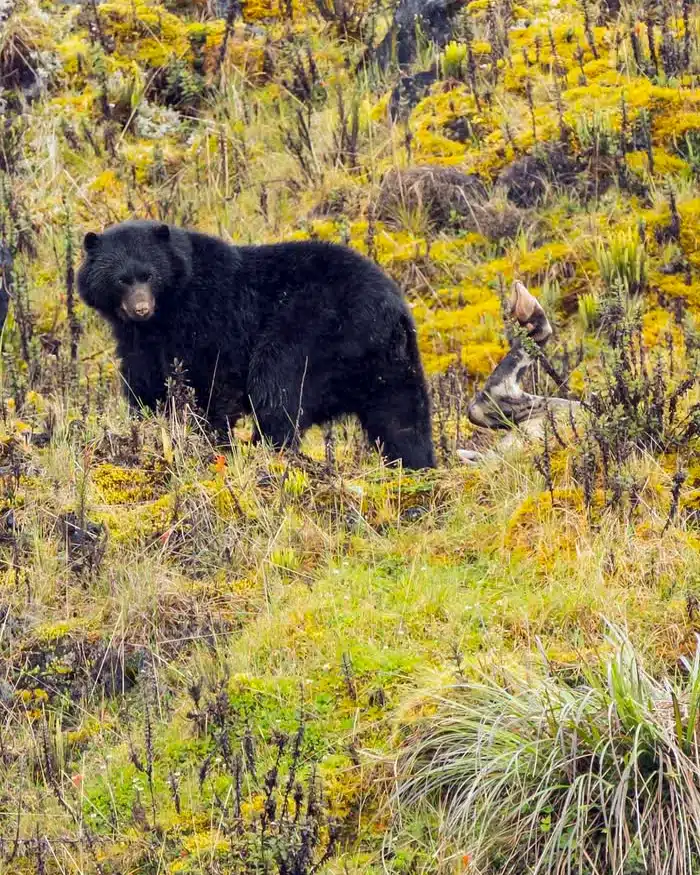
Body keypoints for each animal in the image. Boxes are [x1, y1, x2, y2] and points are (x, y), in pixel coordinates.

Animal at [77, 220, 436, 470]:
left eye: (149, 275)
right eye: (121, 279)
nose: (140, 308)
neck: (165, 313)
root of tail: (393, 307)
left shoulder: (208, 317)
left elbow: (210, 381)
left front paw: (211, 439)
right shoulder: (138, 342)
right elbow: (144, 384)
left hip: (314, 327)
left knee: (276, 386)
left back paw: (265, 449)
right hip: (391, 360)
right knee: (402, 417)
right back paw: (417, 466)